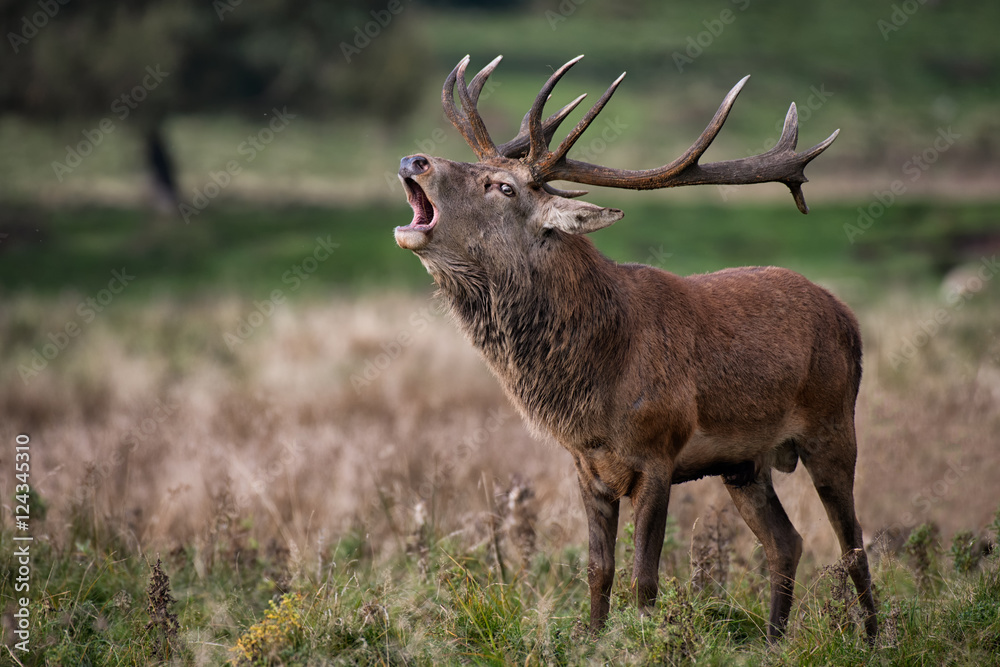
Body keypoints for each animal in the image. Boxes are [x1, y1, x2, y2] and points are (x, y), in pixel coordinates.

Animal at [394, 55, 878, 644]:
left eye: (503, 187)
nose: (414, 159)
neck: (594, 380)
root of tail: (848, 318)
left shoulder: (658, 453)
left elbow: (644, 577)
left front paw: (651, 641)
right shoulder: (586, 465)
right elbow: (597, 569)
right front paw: (594, 638)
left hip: (832, 425)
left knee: (854, 544)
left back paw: (874, 637)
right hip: (745, 463)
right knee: (786, 542)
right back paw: (772, 641)